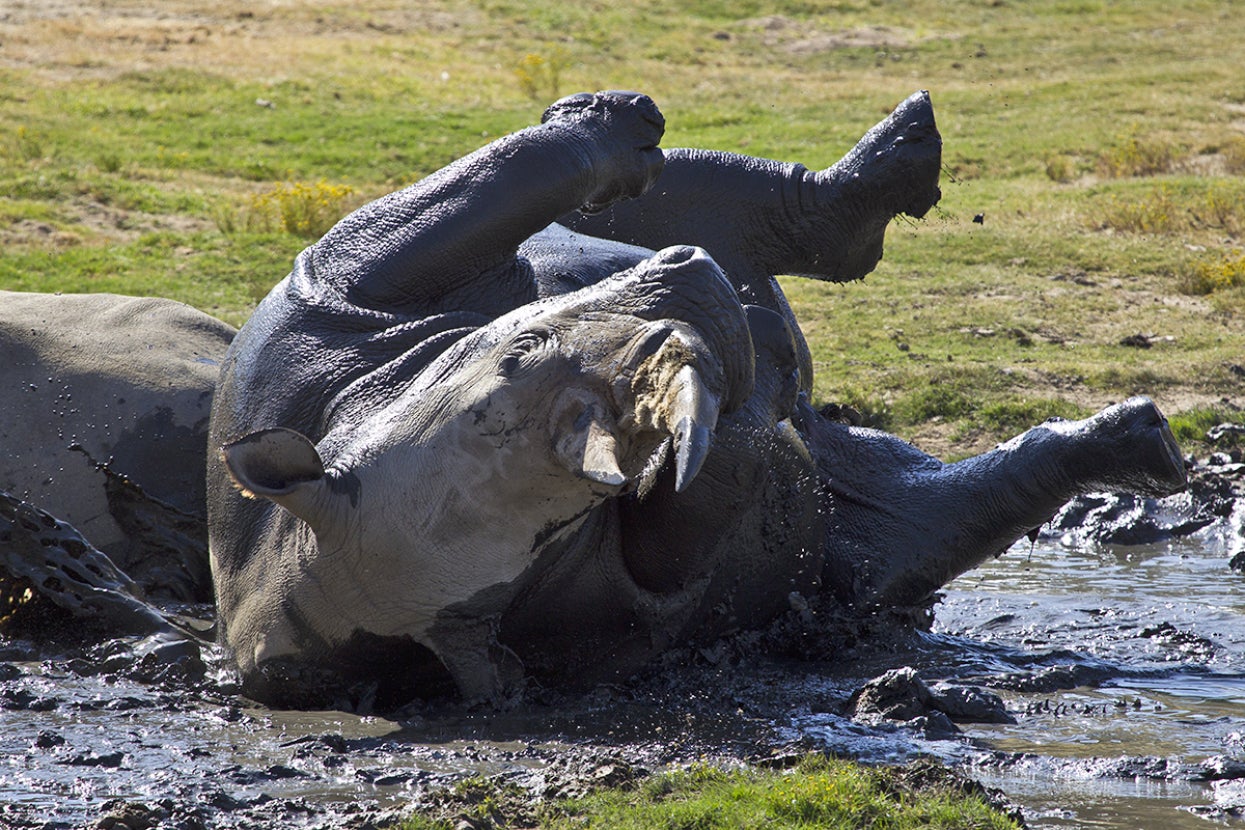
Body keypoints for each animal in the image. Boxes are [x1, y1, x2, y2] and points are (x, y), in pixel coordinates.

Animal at [206, 90, 1188, 709]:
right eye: (588, 454)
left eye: (519, 344)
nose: (691, 283)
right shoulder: (609, 601)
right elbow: (711, 499)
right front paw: (704, 425)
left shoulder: (331, 302)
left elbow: (457, 203)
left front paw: (602, 119)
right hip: (866, 544)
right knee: (949, 504)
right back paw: (1142, 446)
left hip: (657, 216)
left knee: (706, 189)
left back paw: (885, 154)